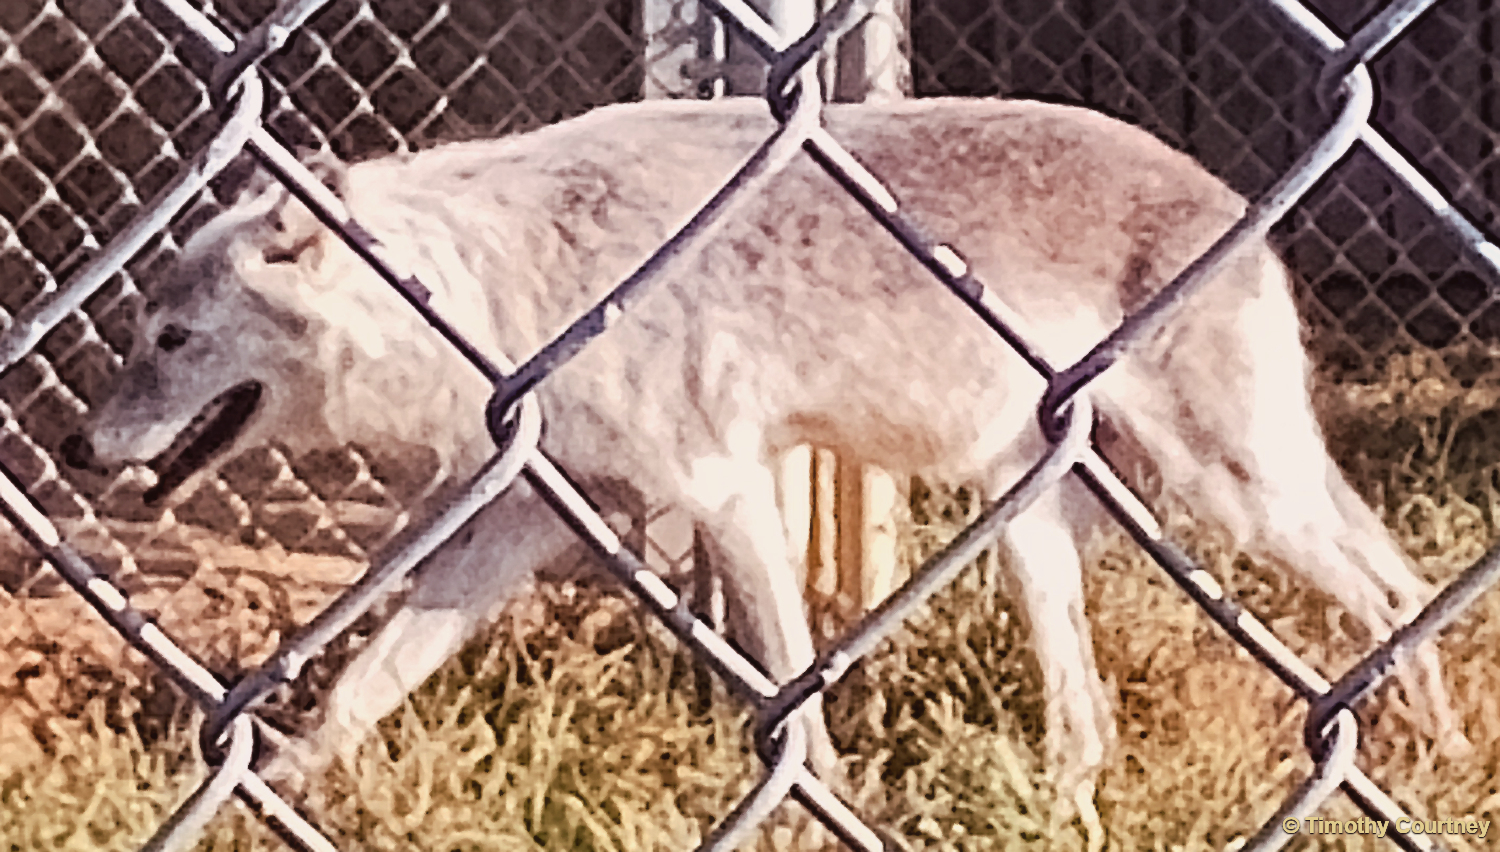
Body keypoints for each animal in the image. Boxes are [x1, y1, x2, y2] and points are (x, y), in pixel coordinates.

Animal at [77, 97, 1462, 841]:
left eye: (169, 339)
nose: (85, 447)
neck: (499, 296)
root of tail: (1238, 207)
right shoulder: (521, 523)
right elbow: (365, 684)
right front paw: (268, 791)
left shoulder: (726, 488)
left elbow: (789, 693)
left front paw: (810, 811)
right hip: (1034, 520)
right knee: (1097, 714)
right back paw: (1064, 800)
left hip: (1239, 496)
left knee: (1396, 591)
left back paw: (1429, 763)